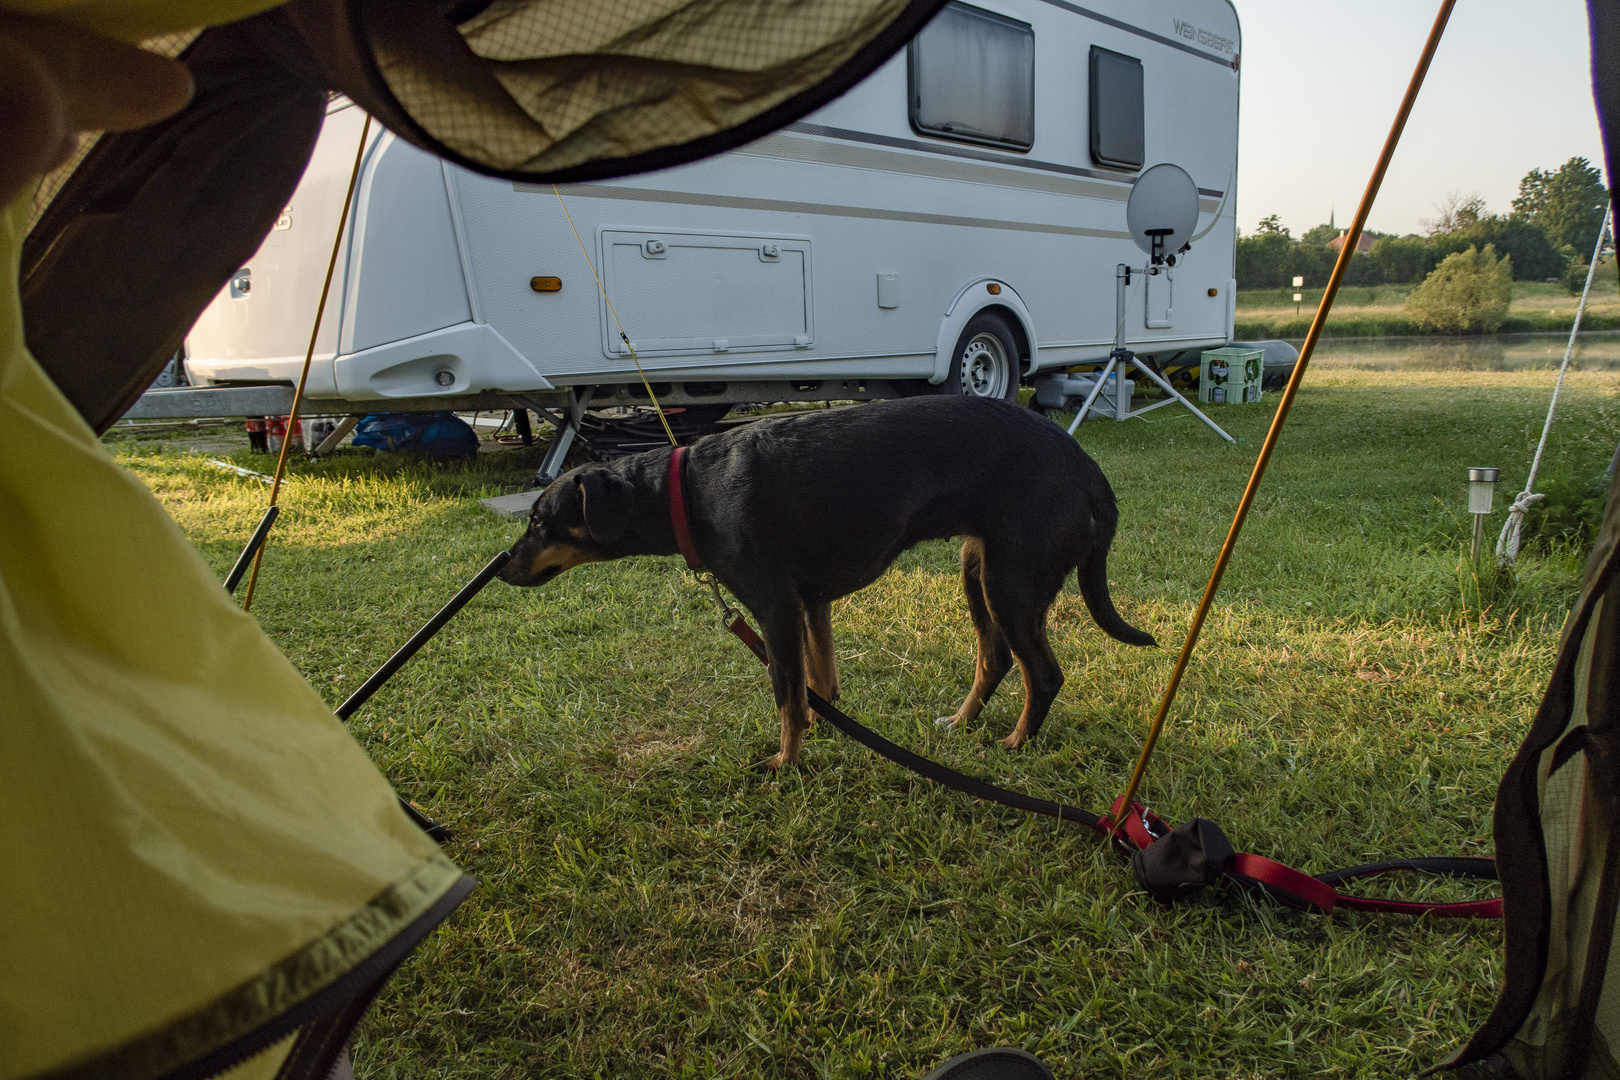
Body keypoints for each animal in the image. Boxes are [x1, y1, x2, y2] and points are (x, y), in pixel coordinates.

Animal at [498, 396, 1159, 767]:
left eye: (538, 522)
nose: (502, 567)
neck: (687, 492)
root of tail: (1089, 470)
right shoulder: (810, 606)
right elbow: (817, 686)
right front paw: (817, 732)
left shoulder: (775, 610)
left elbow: (786, 695)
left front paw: (785, 764)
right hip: (980, 570)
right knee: (994, 658)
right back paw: (962, 723)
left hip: (1012, 582)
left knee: (1042, 675)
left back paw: (1015, 746)